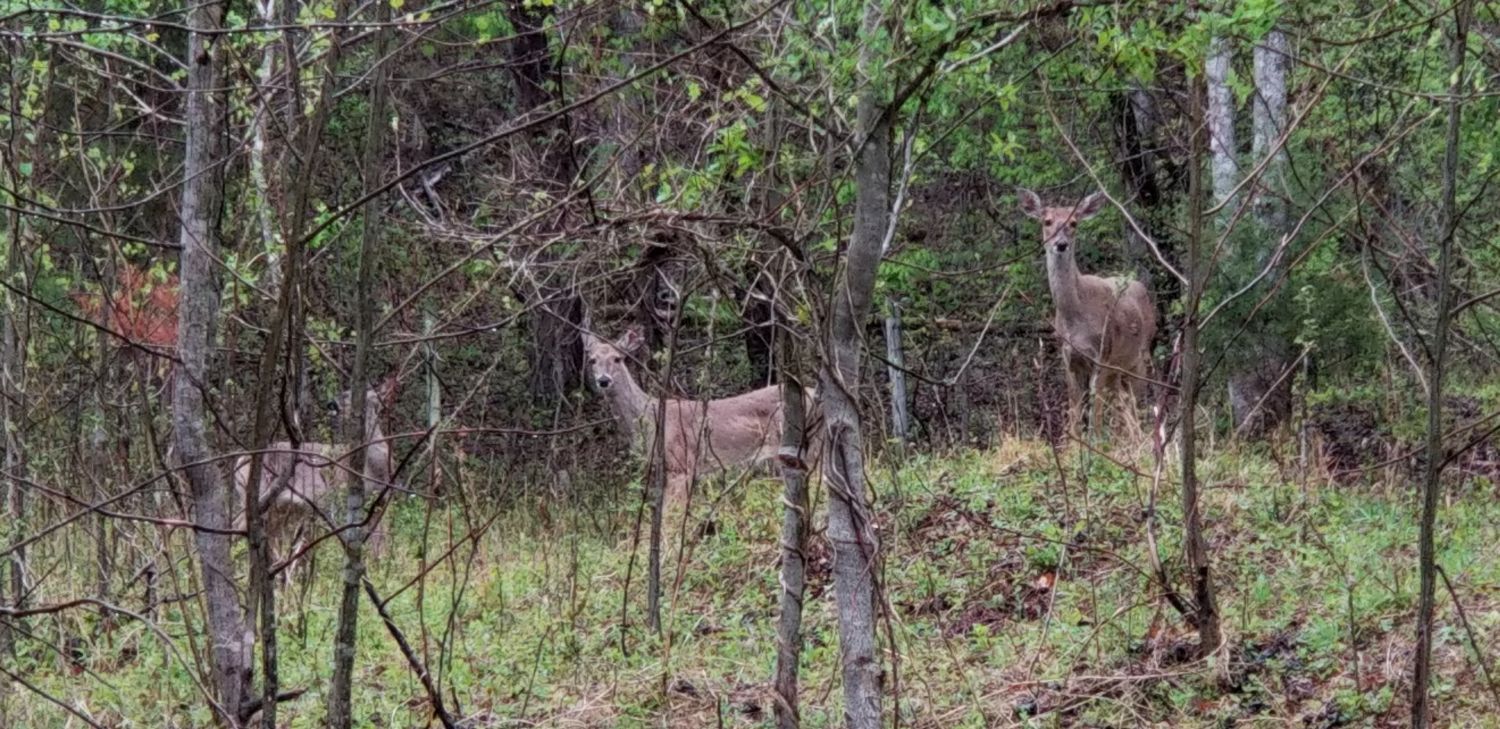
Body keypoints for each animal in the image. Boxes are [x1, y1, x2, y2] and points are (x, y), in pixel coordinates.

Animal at [234, 376, 399, 582]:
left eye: (350, 394)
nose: (331, 403)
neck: (374, 468)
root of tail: (240, 460)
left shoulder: (383, 502)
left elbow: (381, 543)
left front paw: (382, 571)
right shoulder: (339, 499)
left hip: (276, 511)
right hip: (257, 498)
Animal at [1020, 188, 1158, 441]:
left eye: (1073, 223)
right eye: (1047, 221)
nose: (1061, 244)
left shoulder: (1102, 354)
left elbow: (1096, 412)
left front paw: (1096, 443)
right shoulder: (1068, 358)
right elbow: (1075, 411)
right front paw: (1075, 445)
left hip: (1139, 357)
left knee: (1135, 403)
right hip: (1118, 369)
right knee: (1122, 406)